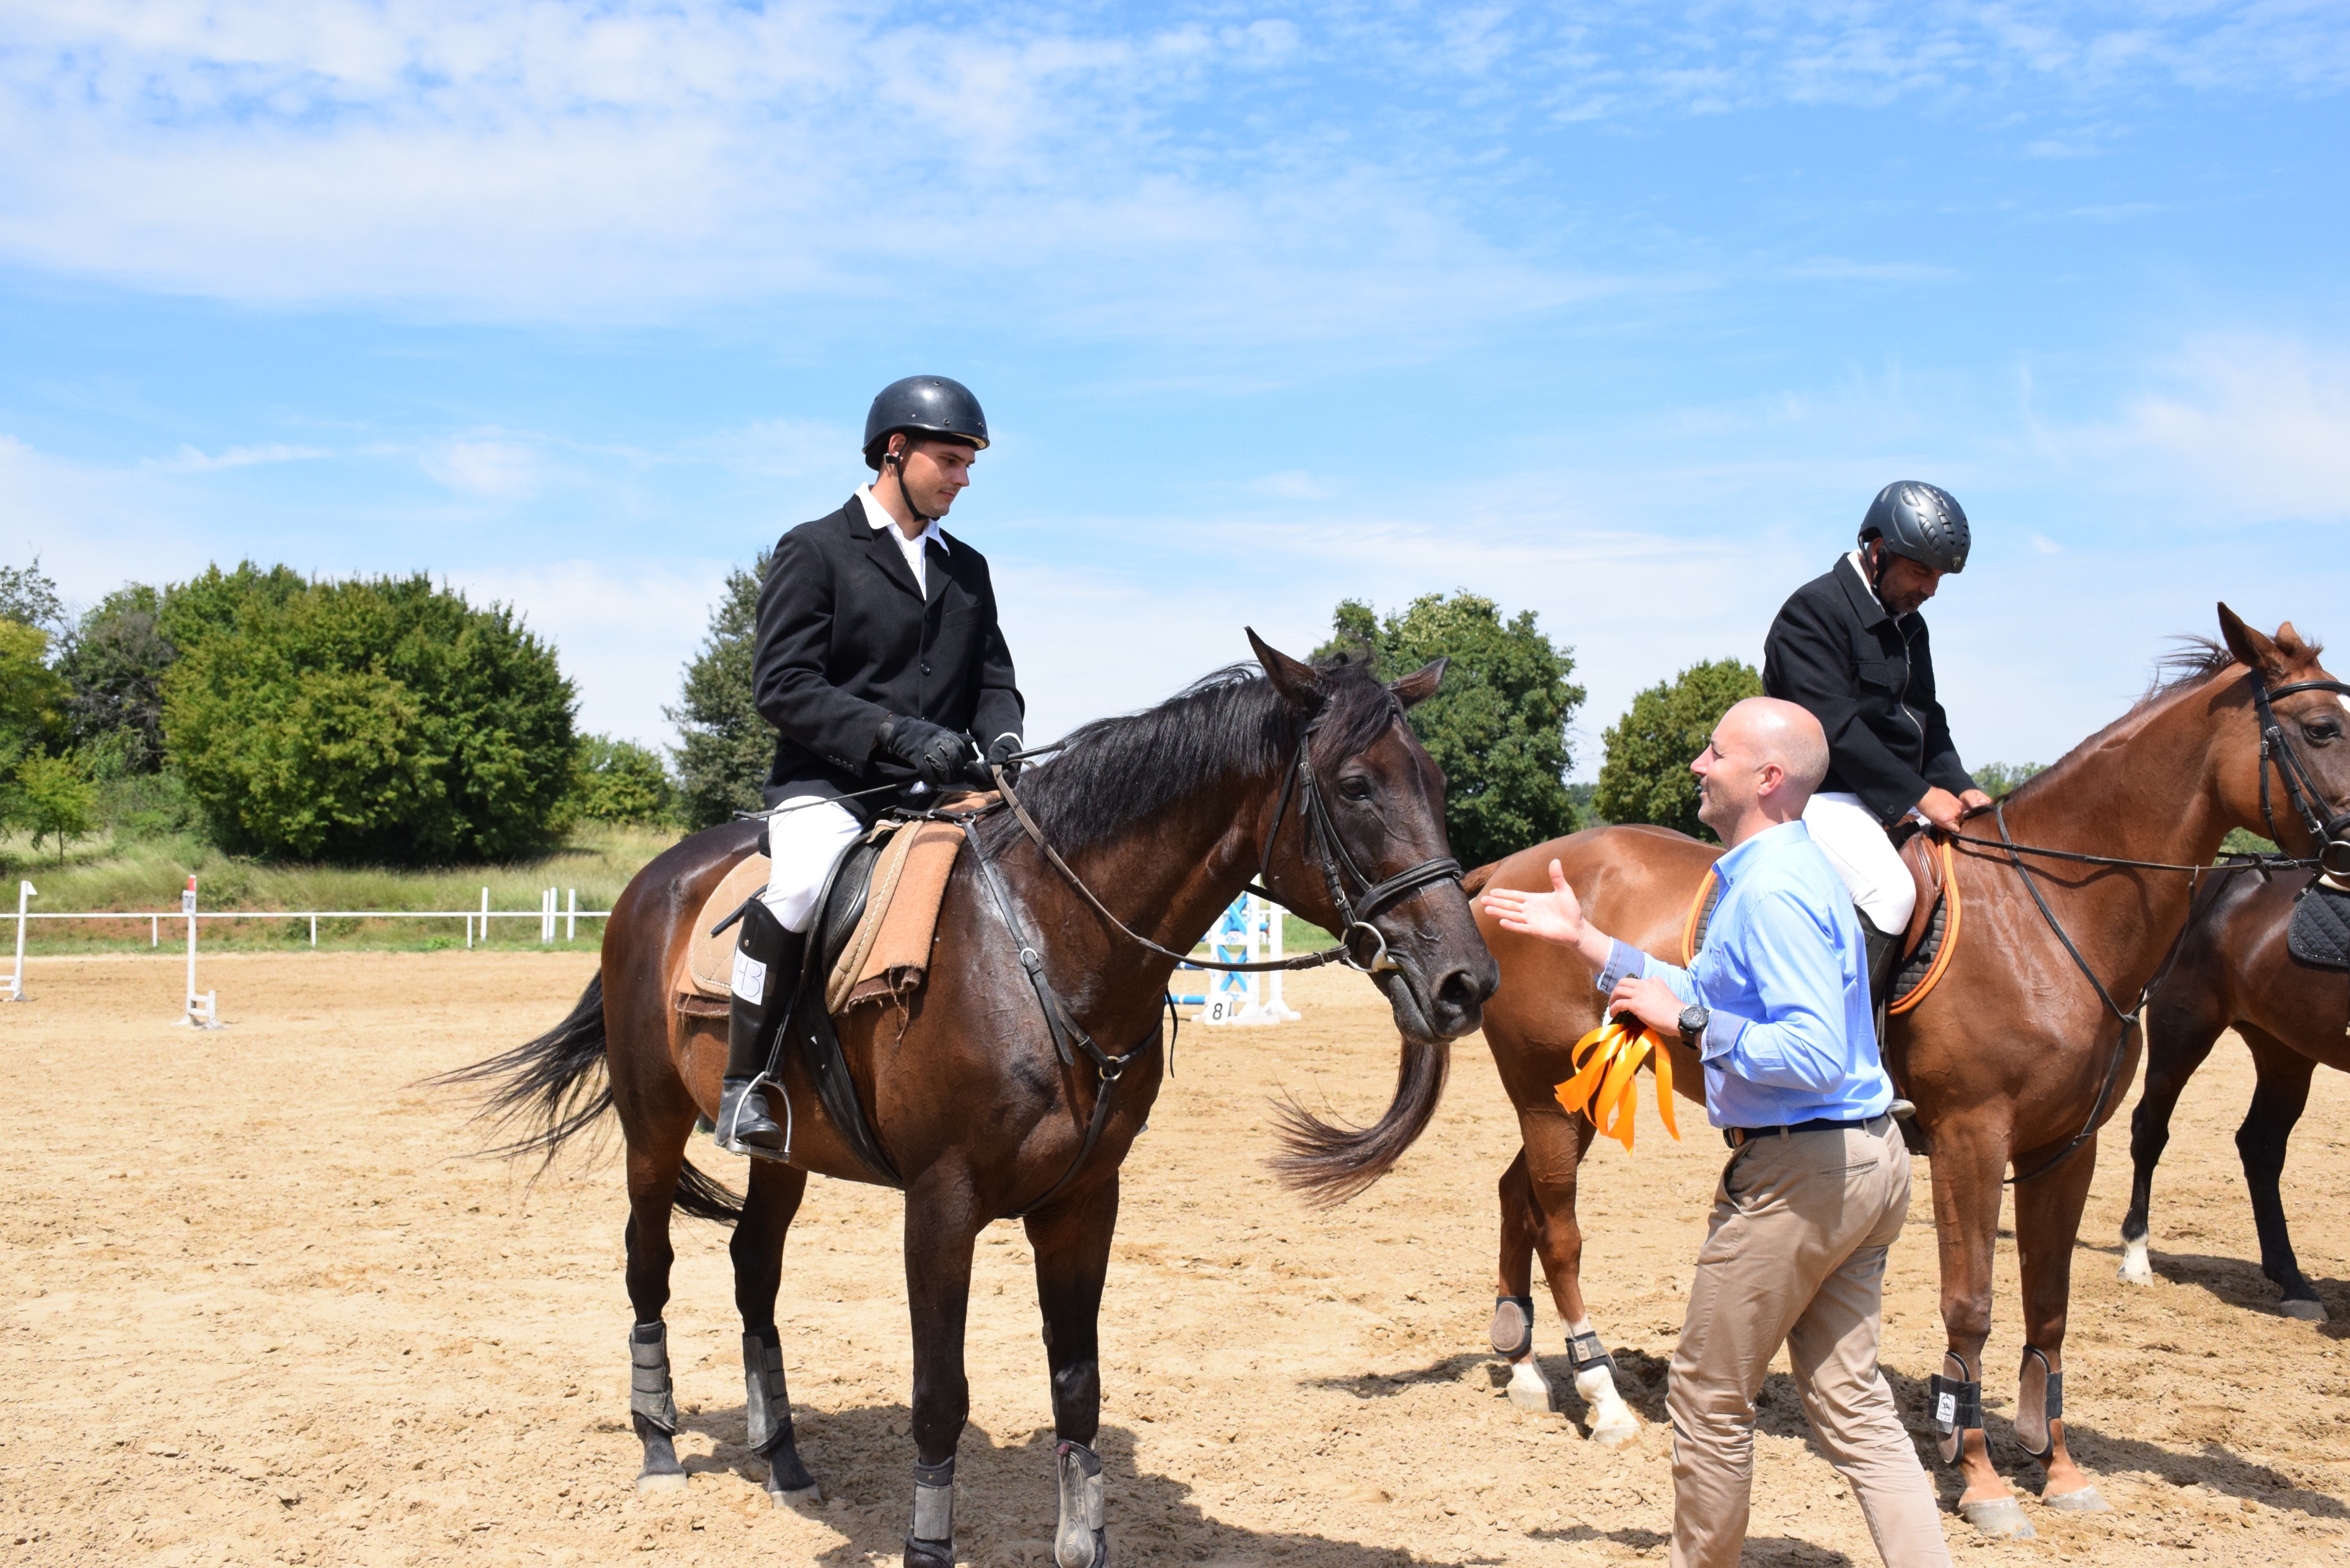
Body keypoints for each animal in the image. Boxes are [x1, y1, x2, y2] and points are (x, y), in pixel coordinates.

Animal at [448, 639, 1494, 1568]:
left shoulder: (1084, 1203)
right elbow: (939, 1395)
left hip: (784, 1151)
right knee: (649, 1264)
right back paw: (660, 1447)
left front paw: (1083, 1545)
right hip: (654, 1130)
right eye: (1357, 787)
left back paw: (784, 1464)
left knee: (755, 1271)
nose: (1466, 984)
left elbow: (1078, 1386)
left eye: (1438, 784)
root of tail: (653, 881)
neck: (1042, 944)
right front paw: (925, 1548)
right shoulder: (941, 1207)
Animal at [2115, 865, 2350, 1316]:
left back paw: (2294, 1284)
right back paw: (2136, 1258)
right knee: (2149, 1132)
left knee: (2260, 1147)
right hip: (2184, 1029)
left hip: (2285, 1051)